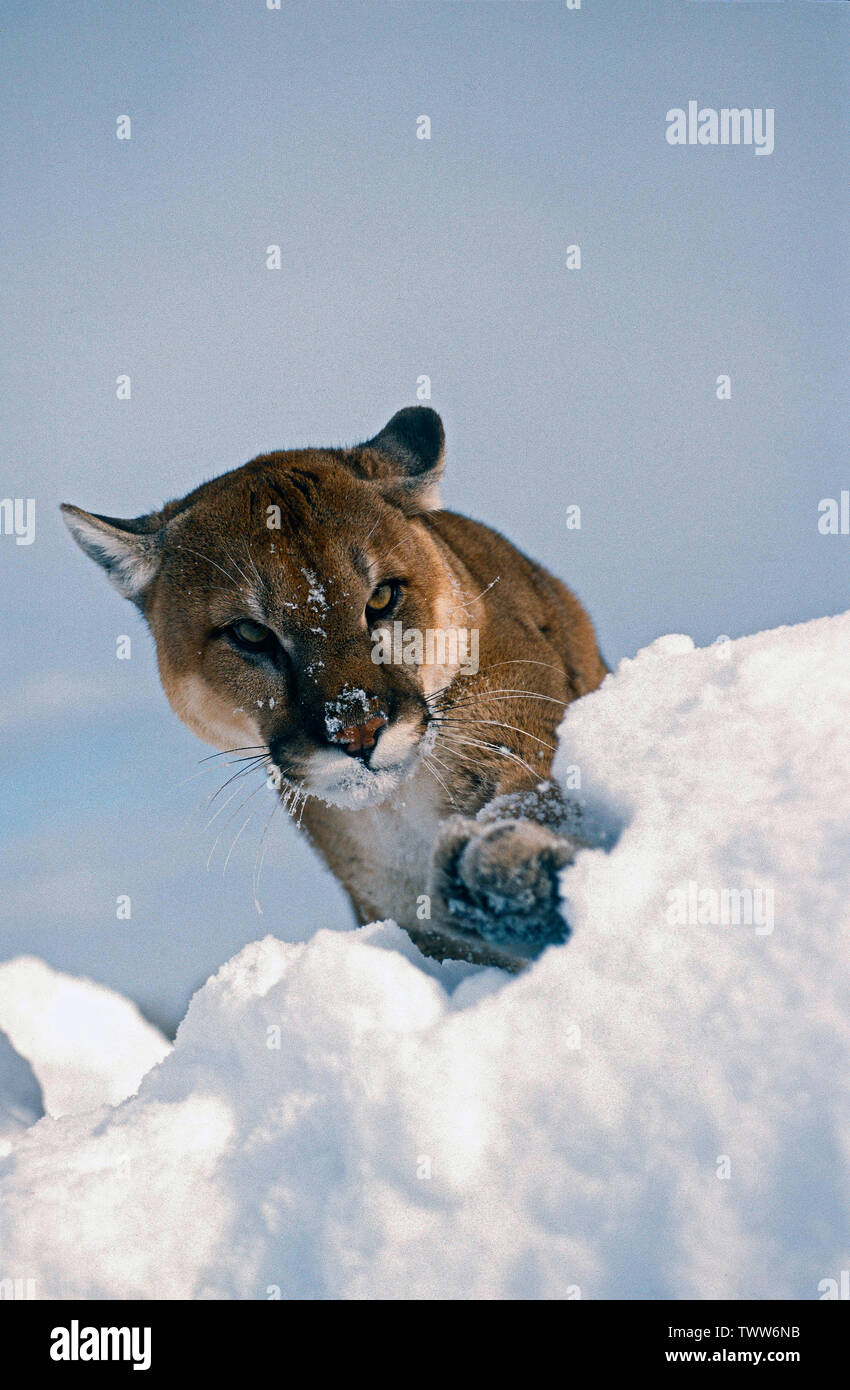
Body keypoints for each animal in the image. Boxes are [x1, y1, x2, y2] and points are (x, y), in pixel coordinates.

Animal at [63, 405, 608, 973]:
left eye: (383, 597)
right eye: (250, 633)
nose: (359, 732)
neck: (396, 811)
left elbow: (539, 800)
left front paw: (510, 877)